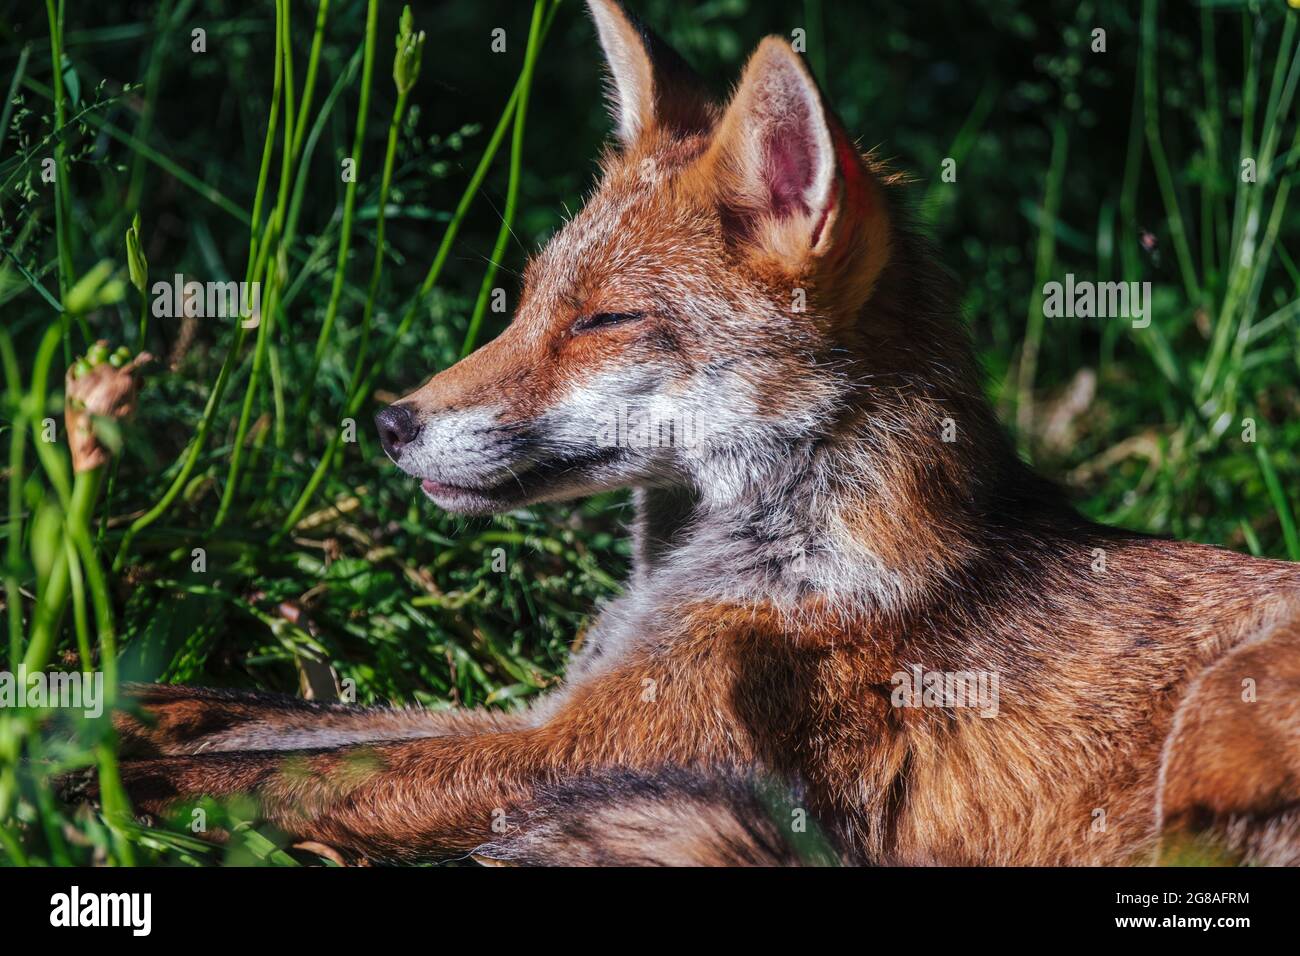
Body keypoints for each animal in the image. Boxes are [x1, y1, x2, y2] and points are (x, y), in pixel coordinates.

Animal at [73, 0, 1300, 866]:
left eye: (604, 320)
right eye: (527, 300)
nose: (388, 422)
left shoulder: (599, 746)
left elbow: (301, 776)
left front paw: (86, 791)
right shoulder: (561, 709)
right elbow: (280, 717)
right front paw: (98, 707)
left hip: (1212, 723)